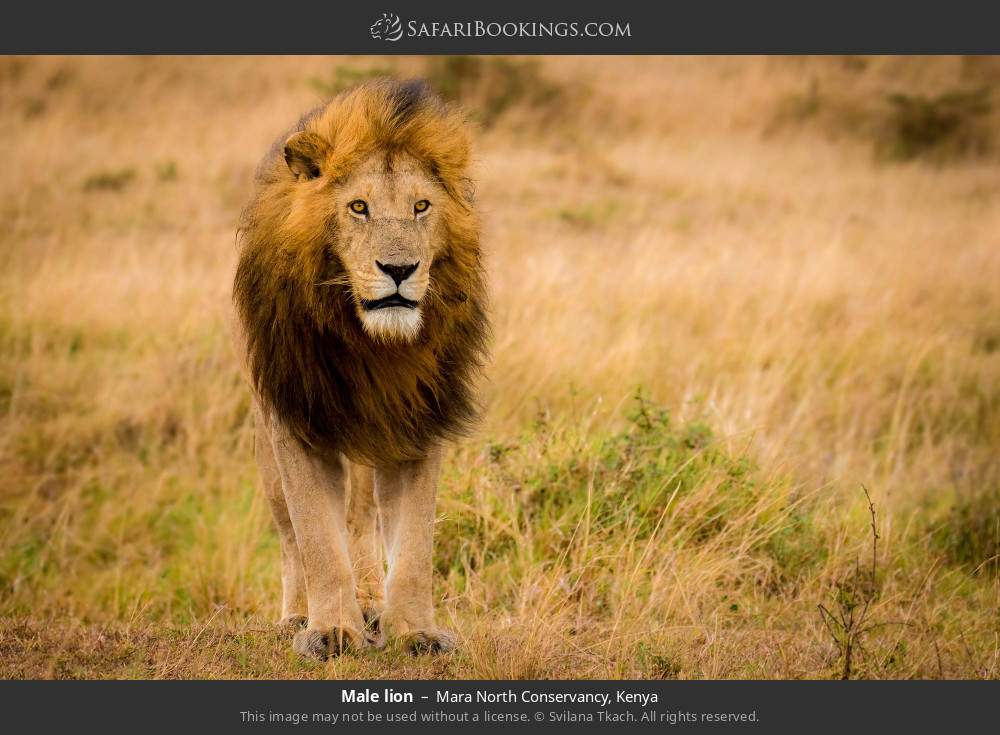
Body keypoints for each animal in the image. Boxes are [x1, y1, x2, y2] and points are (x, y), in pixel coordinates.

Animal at [232, 79, 488, 659]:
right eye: (358, 207)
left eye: (421, 206)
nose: (399, 269)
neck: (371, 344)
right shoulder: (294, 418)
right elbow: (316, 540)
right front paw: (330, 630)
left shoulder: (417, 421)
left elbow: (413, 545)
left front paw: (414, 631)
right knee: (291, 537)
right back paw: (298, 614)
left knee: (361, 517)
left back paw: (371, 601)